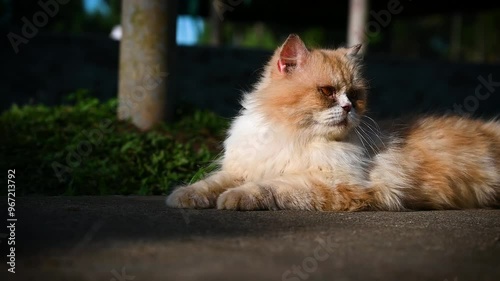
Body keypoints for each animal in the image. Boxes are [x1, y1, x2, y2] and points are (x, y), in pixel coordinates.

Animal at [165, 33, 500, 210]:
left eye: (354, 94)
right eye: (327, 92)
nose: (349, 107)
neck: (292, 135)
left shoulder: (334, 183)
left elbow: (268, 187)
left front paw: (235, 198)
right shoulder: (240, 169)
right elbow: (209, 183)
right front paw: (185, 196)